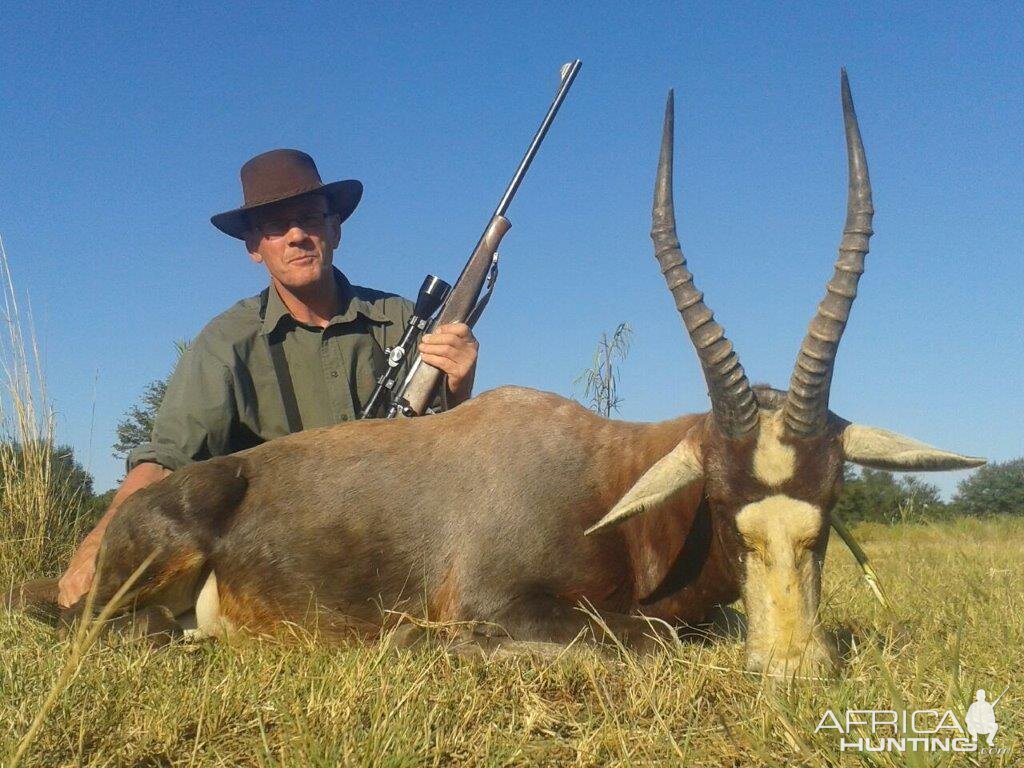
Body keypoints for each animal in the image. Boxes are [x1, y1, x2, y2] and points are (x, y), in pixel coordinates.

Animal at [22, 70, 983, 671]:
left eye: (833, 492)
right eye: (717, 491)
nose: (792, 667)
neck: (606, 476)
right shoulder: (503, 606)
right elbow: (648, 643)